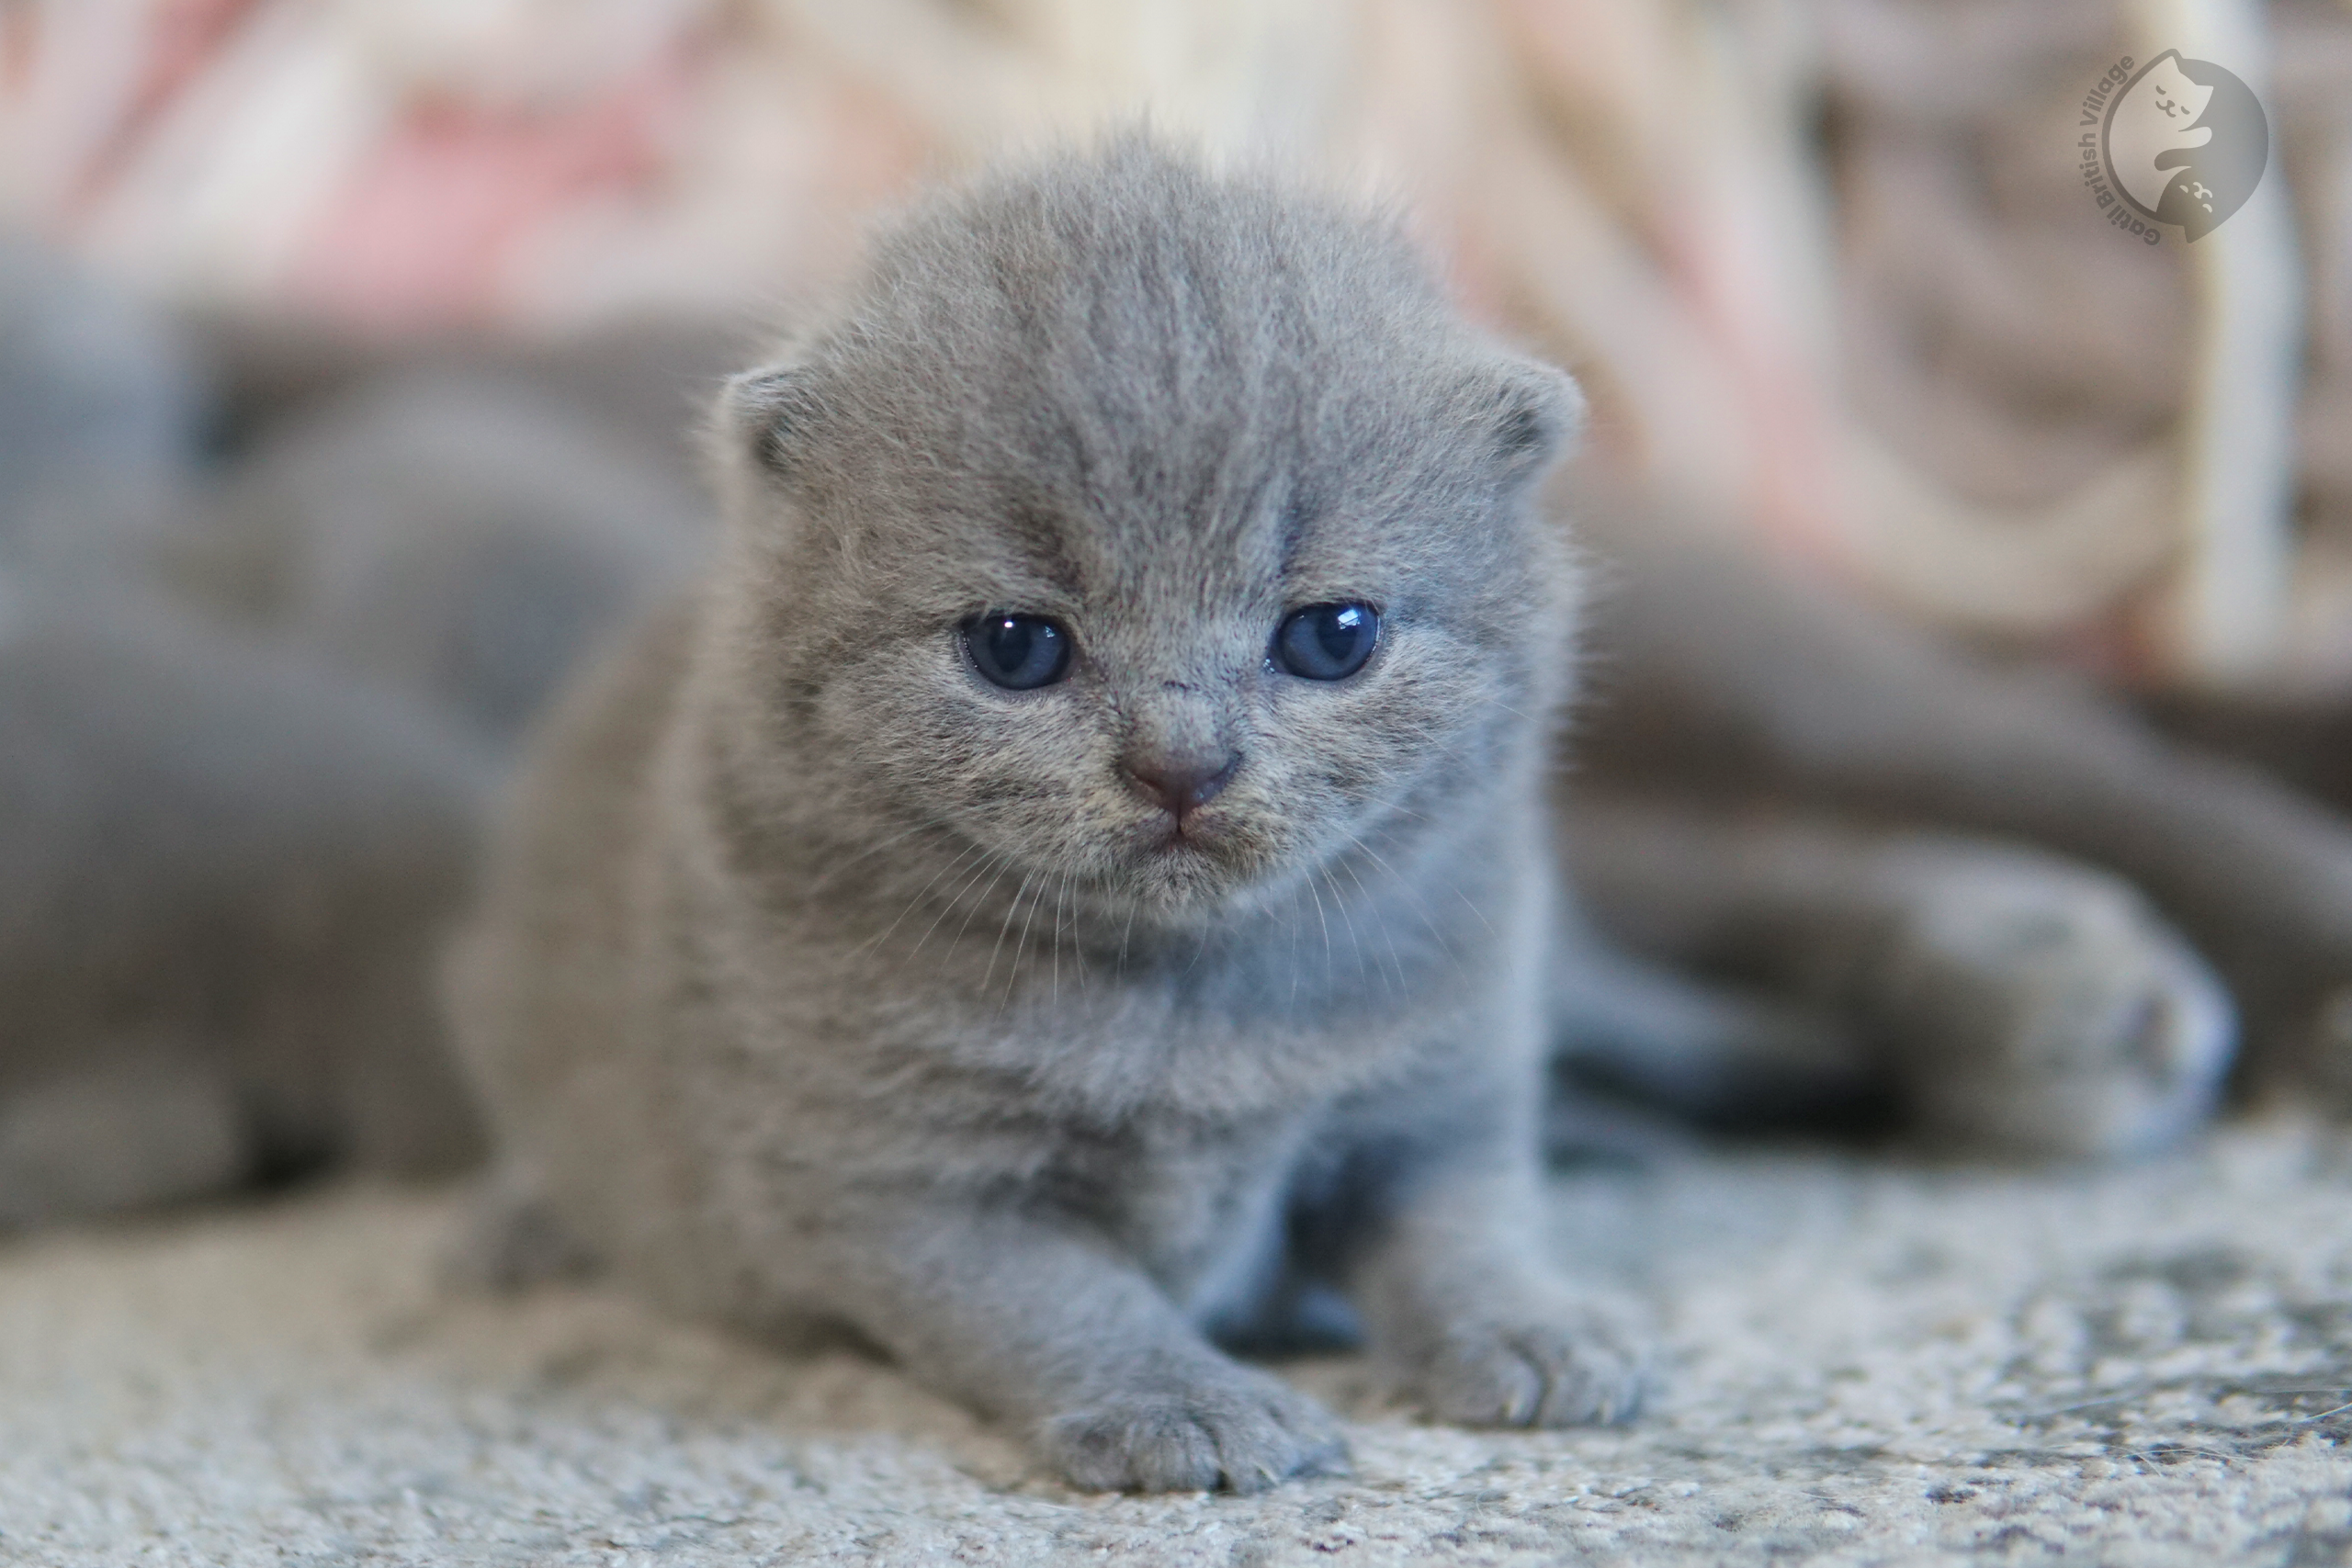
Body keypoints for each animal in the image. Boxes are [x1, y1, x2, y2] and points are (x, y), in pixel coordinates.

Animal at [448, 138, 1646, 1495]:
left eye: (1332, 636)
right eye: (1017, 646)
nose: (1182, 764)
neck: (1185, 1006)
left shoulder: (1438, 1095)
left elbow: (1462, 1228)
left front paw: (1535, 1329)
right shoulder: (893, 1176)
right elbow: (1066, 1304)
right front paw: (1189, 1406)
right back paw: (515, 1227)